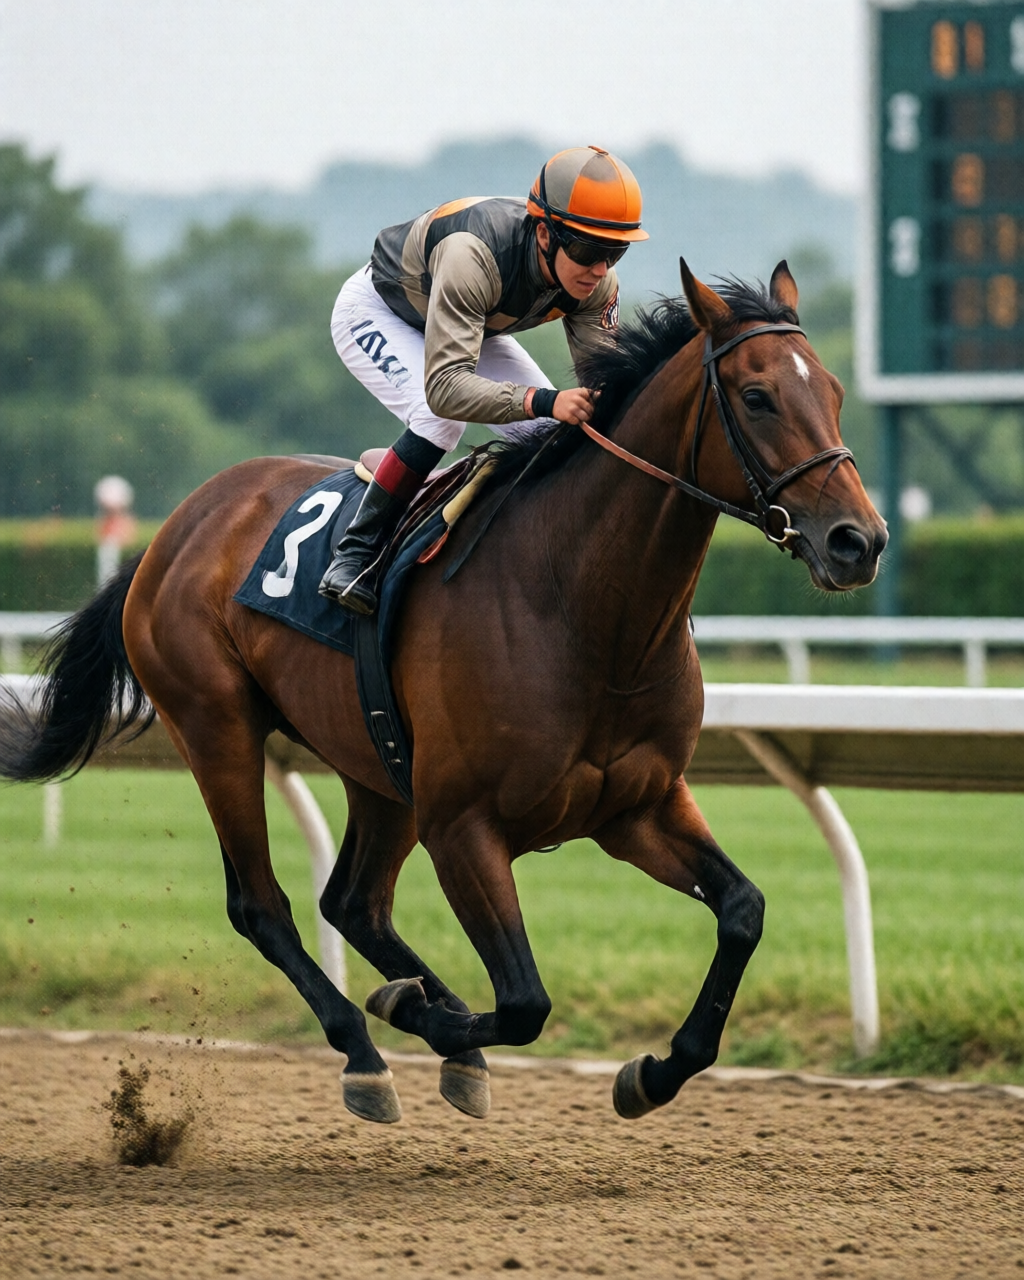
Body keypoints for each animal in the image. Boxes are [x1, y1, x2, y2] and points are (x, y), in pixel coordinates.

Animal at [0, 260, 886, 1125]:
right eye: (757, 396)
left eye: (835, 390)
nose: (860, 541)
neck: (584, 608)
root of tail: (170, 532)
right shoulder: (463, 825)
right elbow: (526, 1000)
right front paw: (413, 1011)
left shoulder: (638, 806)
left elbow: (742, 910)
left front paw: (652, 1072)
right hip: (216, 726)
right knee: (262, 904)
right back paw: (367, 1048)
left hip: (376, 761)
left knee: (353, 902)